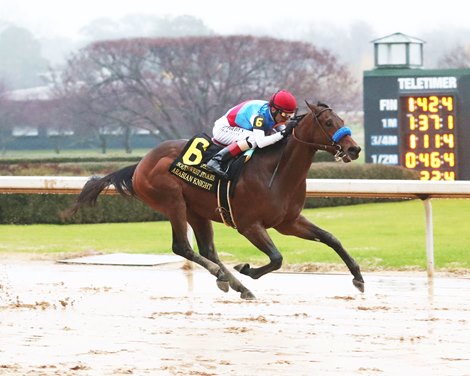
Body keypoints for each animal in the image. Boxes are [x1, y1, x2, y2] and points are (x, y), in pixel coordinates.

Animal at [70, 101, 364, 298]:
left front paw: (358, 277)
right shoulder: (249, 225)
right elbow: (277, 258)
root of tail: (141, 163)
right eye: (329, 123)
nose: (354, 149)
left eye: (341, 119)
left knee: (207, 250)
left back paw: (236, 285)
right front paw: (247, 268)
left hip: (197, 211)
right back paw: (227, 277)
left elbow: (331, 238)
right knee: (182, 246)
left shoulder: (288, 222)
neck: (276, 170)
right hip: (172, 202)